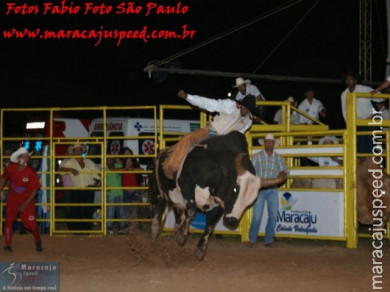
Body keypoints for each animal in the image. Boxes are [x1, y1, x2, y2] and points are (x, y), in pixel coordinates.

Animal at [148, 132, 284, 260]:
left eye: (250, 200)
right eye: (235, 189)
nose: (232, 220)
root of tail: (162, 153)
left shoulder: (218, 204)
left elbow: (210, 225)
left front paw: (200, 249)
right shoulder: (185, 183)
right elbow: (191, 209)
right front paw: (182, 235)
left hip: (177, 203)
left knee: (178, 216)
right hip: (158, 192)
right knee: (157, 212)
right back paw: (154, 238)